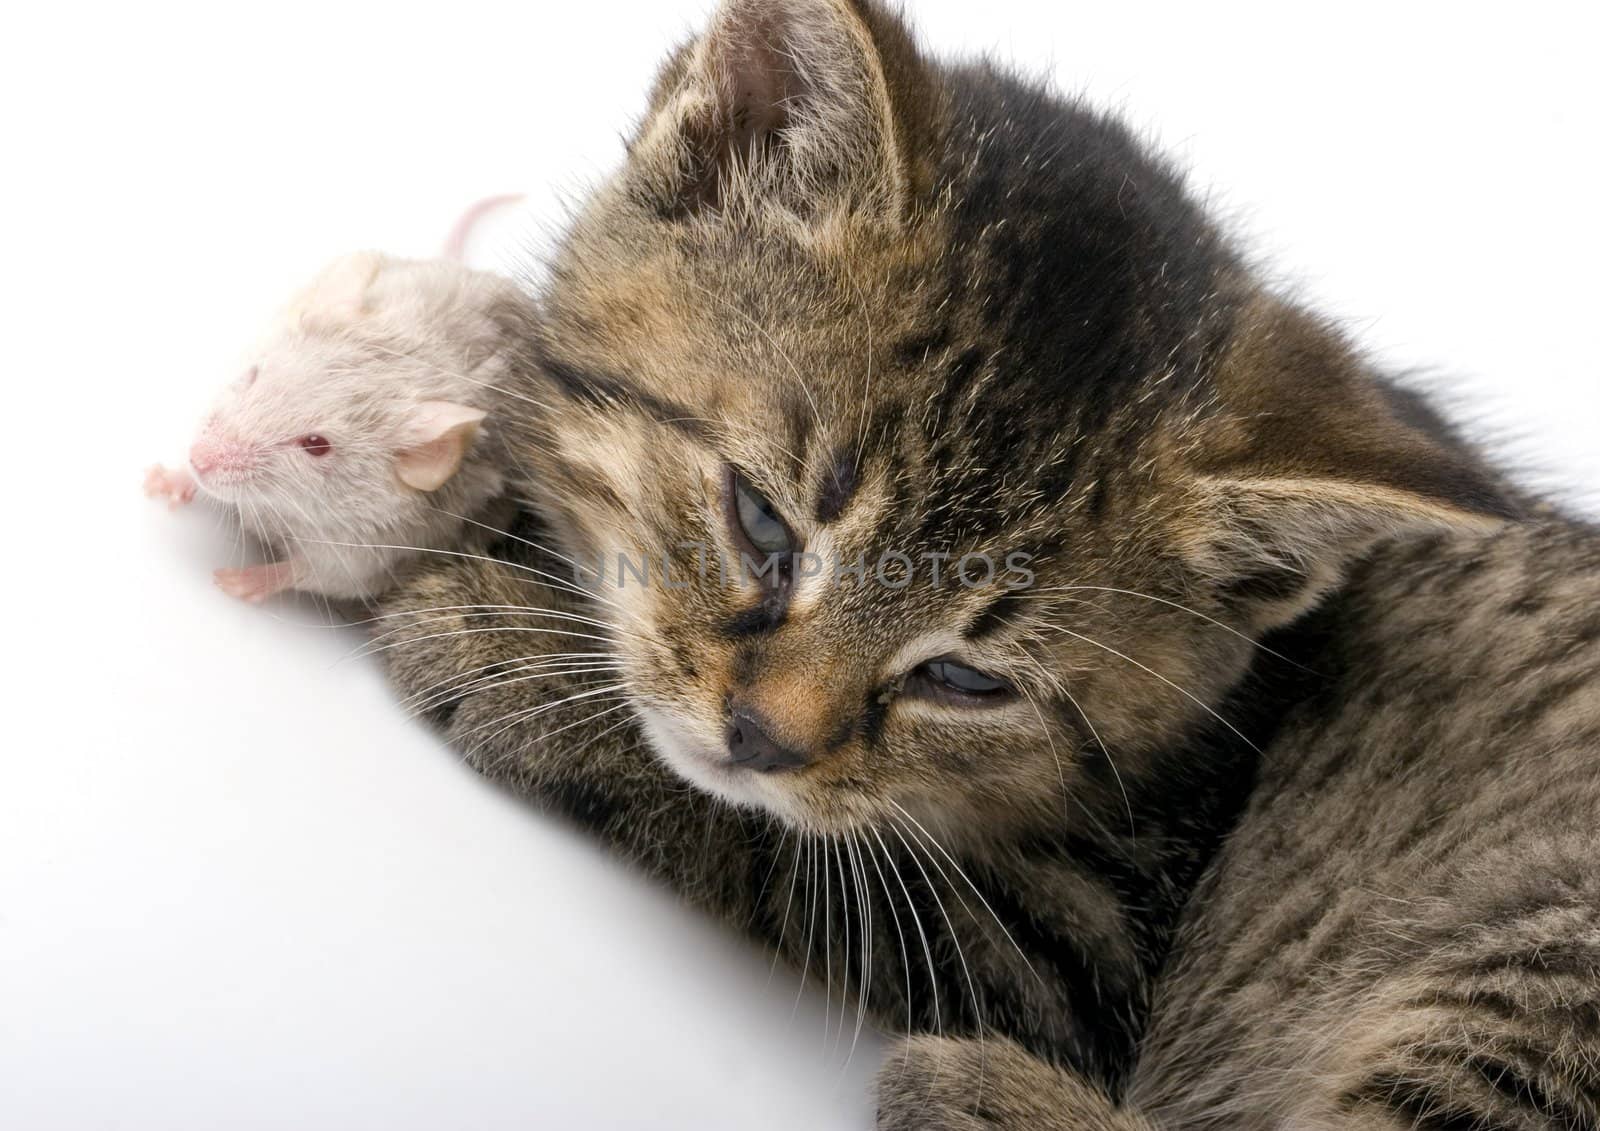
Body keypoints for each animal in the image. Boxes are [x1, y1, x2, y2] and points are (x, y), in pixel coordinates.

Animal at [377, 0, 1600, 1126]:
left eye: (965, 679)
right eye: (763, 524)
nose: (763, 738)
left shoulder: (1093, 941)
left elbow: (815, 862)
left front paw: (515, 654)